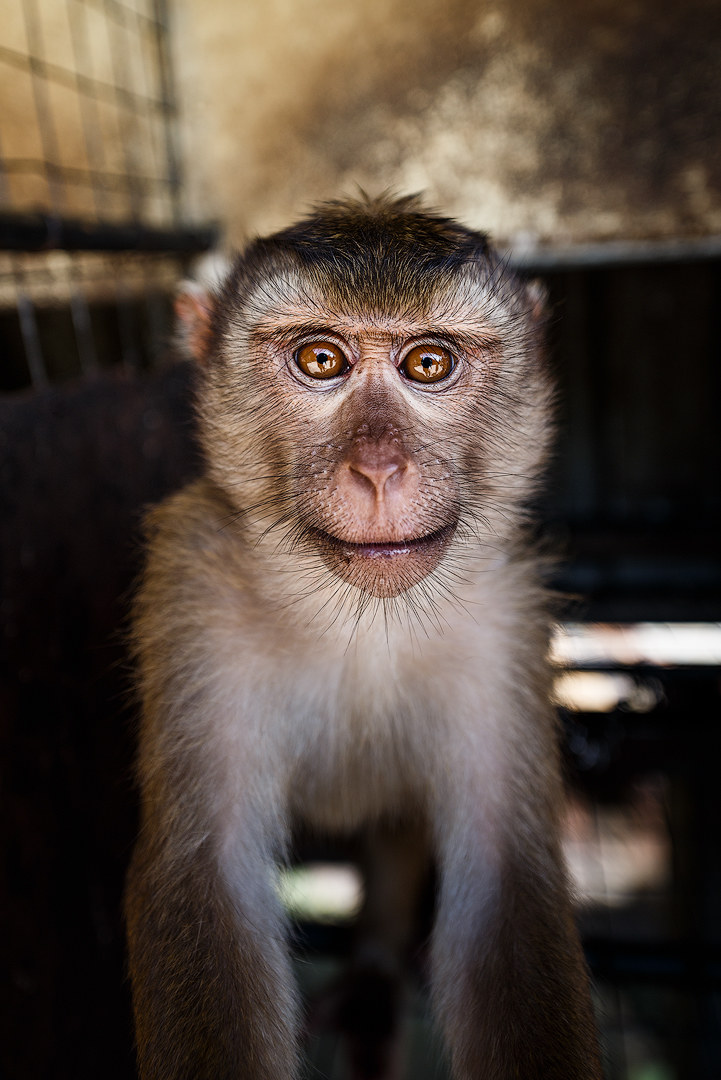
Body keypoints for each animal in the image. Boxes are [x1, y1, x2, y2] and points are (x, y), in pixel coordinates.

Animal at [125, 193, 603, 1080]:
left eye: (428, 365)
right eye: (320, 360)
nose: (378, 471)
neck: (353, 620)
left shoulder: (505, 617)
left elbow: (503, 895)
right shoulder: (191, 592)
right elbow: (207, 882)